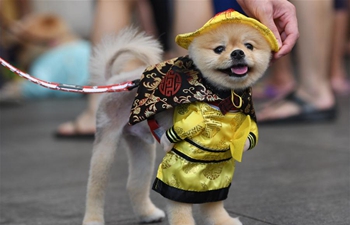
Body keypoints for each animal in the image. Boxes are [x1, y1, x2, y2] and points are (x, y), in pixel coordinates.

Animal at [82, 9, 278, 225]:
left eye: (248, 46)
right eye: (219, 49)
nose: (237, 53)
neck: (220, 98)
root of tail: (114, 80)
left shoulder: (218, 163)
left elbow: (212, 202)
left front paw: (222, 221)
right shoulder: (179, 162)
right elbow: (179, 203)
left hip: (141, 147)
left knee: (134, 184)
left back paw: (148, 213)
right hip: (106, 144)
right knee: (94, 188)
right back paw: (92, 220)